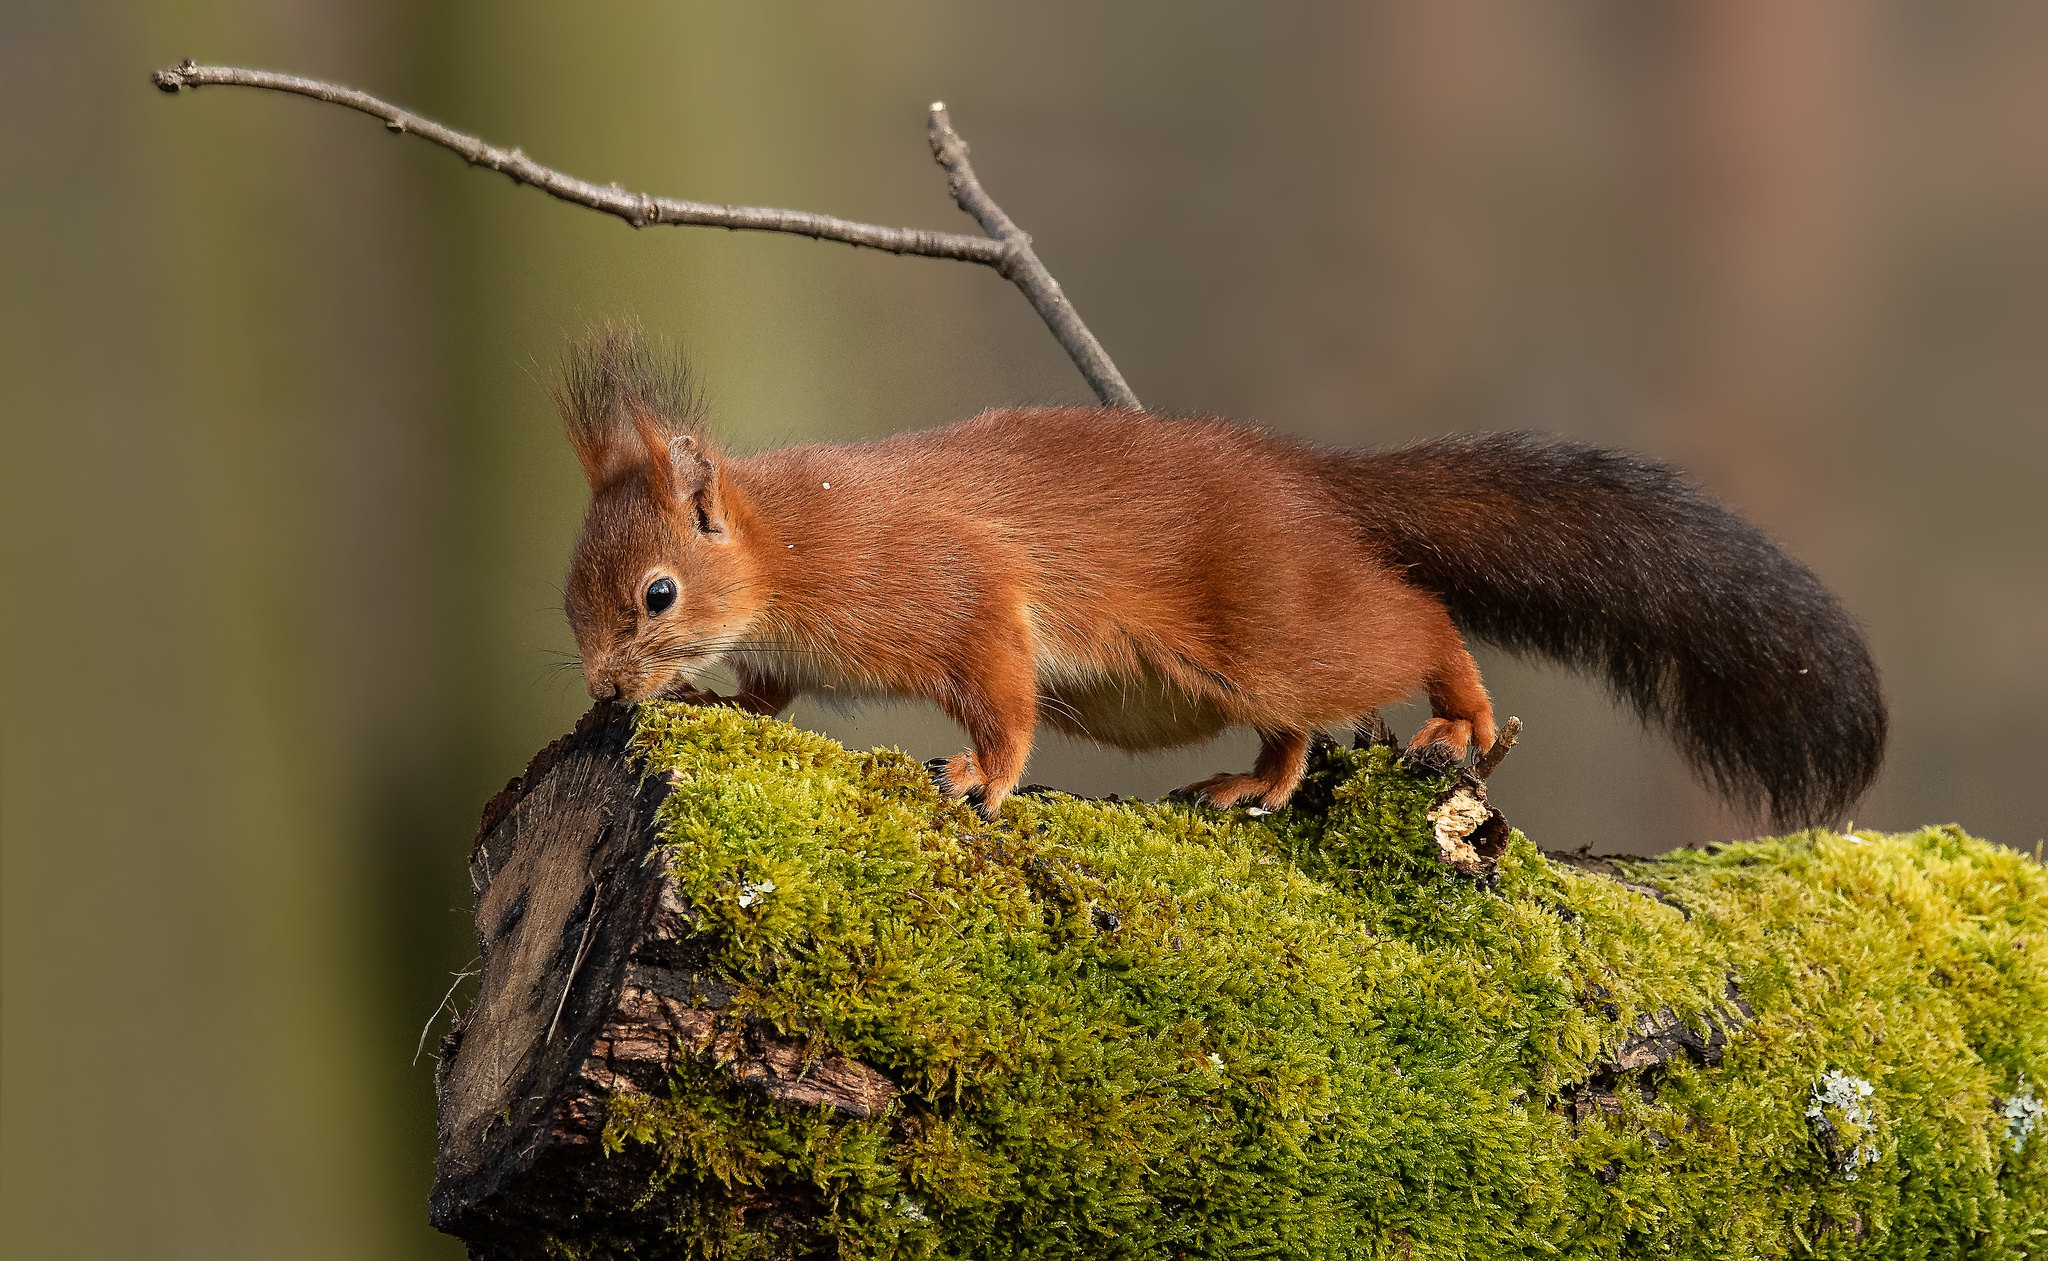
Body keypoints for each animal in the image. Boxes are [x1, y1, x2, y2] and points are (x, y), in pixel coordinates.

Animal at [557, 329, 1884, 831]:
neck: (790, 544)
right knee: (1291, 729)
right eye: (572, 593)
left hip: (1276, 625)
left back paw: (1460, 716)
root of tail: (1306, 485)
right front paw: (714, 702)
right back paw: (1257, 784)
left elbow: (998, 688)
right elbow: (769, 692)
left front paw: (984, 775)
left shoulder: (949, 582)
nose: (602, 687)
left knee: (1413, 622)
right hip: (1182, 685)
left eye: (657, 593)